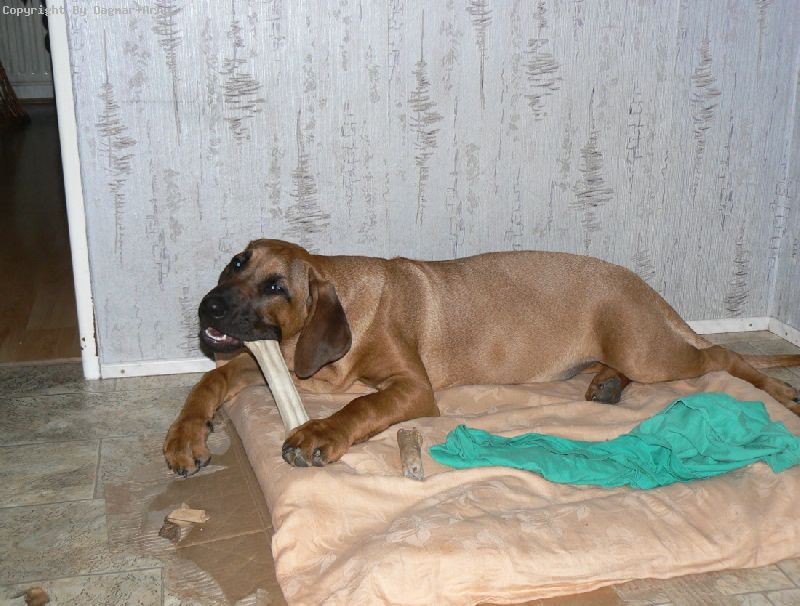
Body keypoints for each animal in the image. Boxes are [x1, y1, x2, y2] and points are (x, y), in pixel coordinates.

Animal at [164, 239, 800, 476]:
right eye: (237, 263)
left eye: (276, 286)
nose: (209, 305)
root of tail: (642, 285)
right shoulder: (262, 359)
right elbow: (209, 381)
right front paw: (186, 436)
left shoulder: (411, 387)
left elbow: (358, 408)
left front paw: (319, 434)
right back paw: (605, 384)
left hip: (651, 351)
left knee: (723, 354)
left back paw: (782, 392)